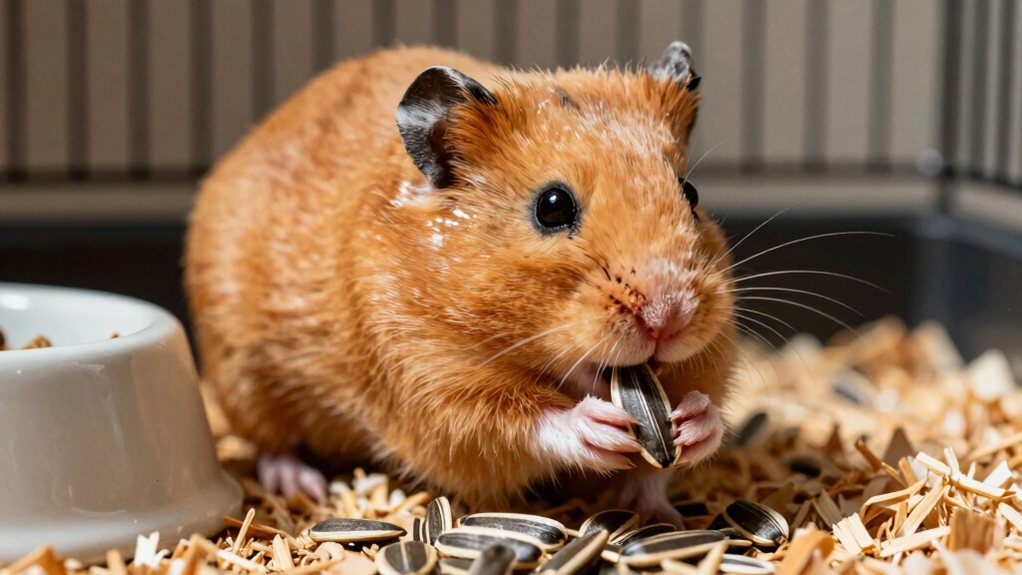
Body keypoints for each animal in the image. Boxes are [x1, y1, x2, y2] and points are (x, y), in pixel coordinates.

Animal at [185, 42, 736, 525]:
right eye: (552, 207)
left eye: (690, 193)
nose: (670, 317)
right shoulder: (428, 384)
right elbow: (517, 423)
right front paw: (600, 427)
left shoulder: (711, 357)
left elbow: (672, 449)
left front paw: (691, 425)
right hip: (245, 378)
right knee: (271, 443)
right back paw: (302, 485)